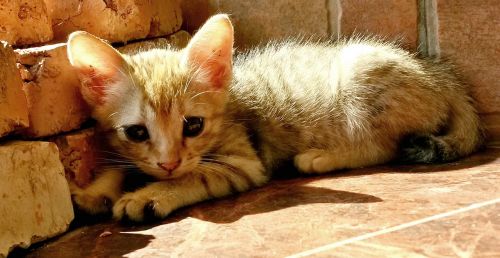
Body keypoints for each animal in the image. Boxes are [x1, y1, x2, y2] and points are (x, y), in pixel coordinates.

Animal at [67, 14, 484, 221]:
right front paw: (94, 192)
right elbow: (119, 166)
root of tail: (441, 75)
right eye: (137, 133)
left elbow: (195, 175)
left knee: (383, 146)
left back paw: (321, 157)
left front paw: (151, 194)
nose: (168, 164)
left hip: (362, 76)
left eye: (193, 125)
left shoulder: (243, 163)